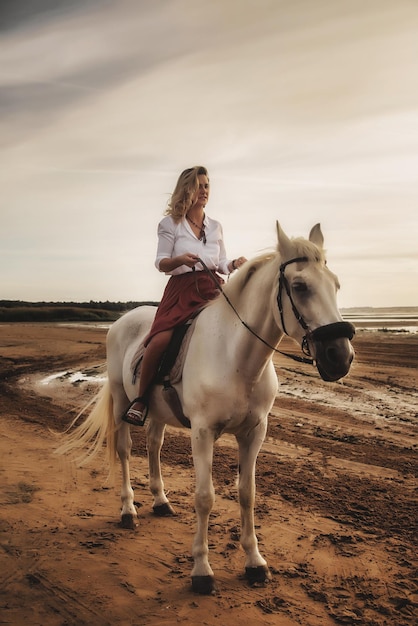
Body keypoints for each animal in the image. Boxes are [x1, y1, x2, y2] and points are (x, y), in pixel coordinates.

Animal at [57, 222, 354, 592]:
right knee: (125, 451)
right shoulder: (202, 433)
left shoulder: (254, 433)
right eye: (300, 286)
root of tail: (123, 320)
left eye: (336, 284)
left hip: (157, 412)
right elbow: (204, 497)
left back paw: (160, 501)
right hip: (122, 402)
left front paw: (255, 563)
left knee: (153, 446)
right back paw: (128, 511)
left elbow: (247, 494)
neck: (236, 358)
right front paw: (201, 570)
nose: (340, 357)